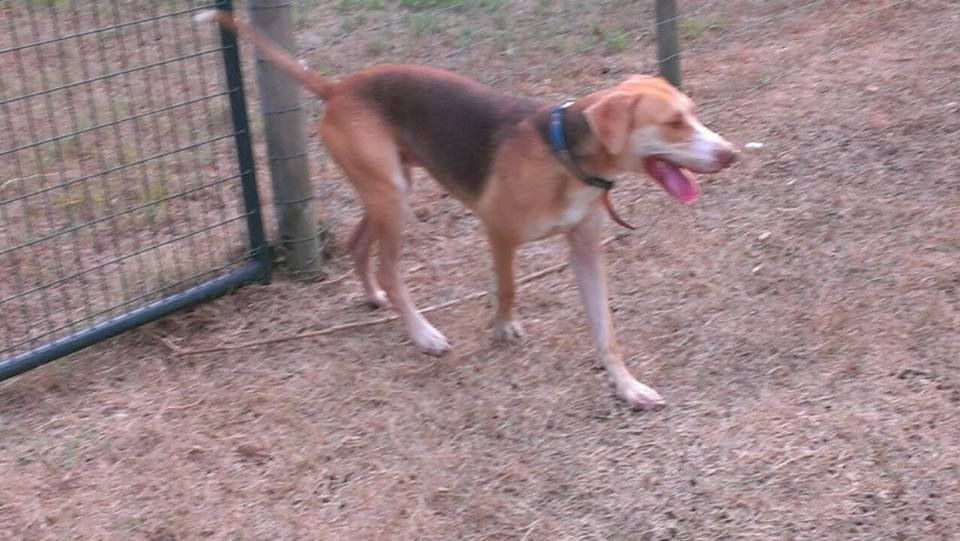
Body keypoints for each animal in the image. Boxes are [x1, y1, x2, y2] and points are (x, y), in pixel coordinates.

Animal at [196, 10, 737, 409]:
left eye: (693, 113)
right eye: (673, 123)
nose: (731, 154)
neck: (564, 155)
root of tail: (338, 88)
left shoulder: (586, 250)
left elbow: (606, 332)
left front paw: (627, 386)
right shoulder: (498, 231)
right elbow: (507, 287)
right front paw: (503, 327)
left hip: (390, 189)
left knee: (358, 246)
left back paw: (375, 298)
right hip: (393, 197)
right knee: (390, 268)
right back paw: (422, 333)